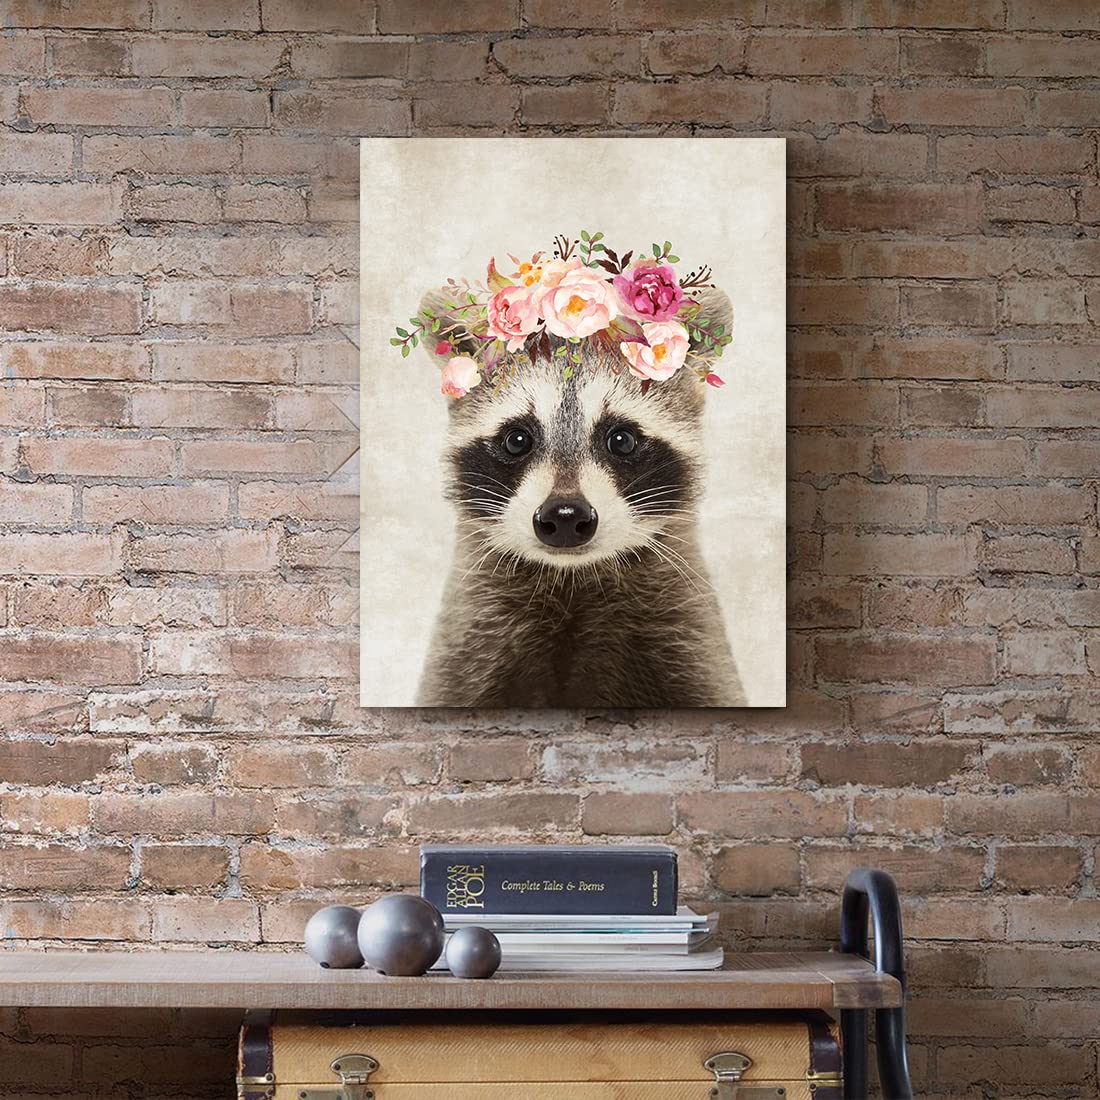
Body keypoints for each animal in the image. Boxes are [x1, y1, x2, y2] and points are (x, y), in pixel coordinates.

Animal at [417, 287, 744, 708]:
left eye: (621, 440)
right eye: (516, 439)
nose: (566, 516)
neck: (571, 579)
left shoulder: (691, 643)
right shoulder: (469, 648)